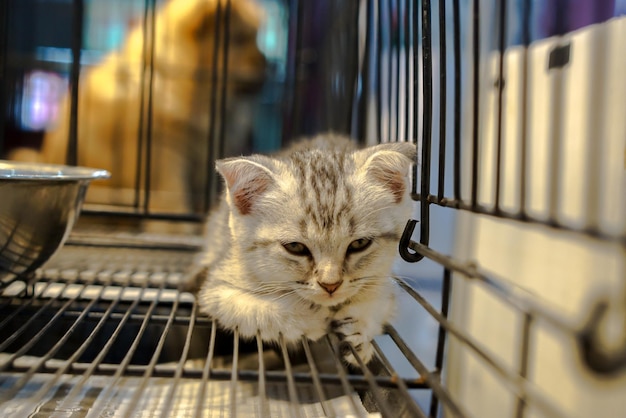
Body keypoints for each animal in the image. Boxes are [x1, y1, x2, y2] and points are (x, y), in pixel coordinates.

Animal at [195, 135, 414, 366]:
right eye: (295, 247)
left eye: (359, 243)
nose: (330, 285)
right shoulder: (216, 288)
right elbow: (254, 310)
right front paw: (311, 319)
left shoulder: (385, 279)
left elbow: (380, 300)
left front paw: (359, 330)